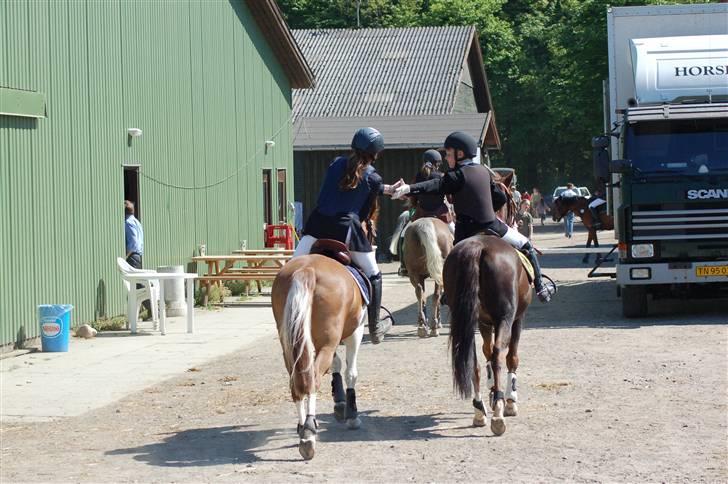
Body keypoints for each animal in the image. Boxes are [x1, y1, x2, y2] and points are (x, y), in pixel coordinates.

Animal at [272, 251, 366, 460]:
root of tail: (307, 269)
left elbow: (336, 365)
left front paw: (339, 403)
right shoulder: (355, 333)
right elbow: (351, 373)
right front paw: (351, 415)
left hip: (289, 347)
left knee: (297, 383)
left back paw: (302, 429)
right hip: (328, 342)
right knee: (312, 379)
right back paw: (308, 434)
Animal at [440, 233, 532, 434]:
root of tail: (478, 247)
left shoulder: (483, 323)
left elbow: (486, 351)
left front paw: (491, 391)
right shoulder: (517, 319)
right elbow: (511, 358)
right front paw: (510, 401)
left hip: (466, 321)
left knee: (473, 362)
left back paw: (479, 410)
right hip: (505, 318)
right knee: (498, 355)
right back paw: (498, 411)